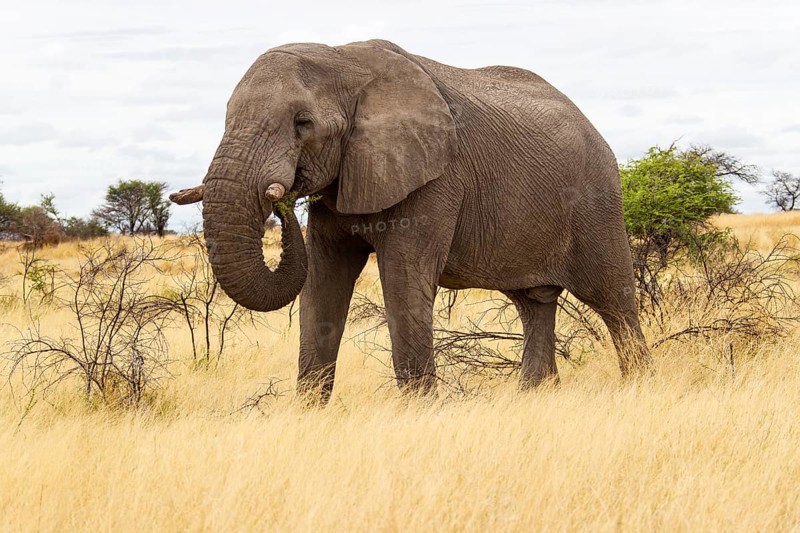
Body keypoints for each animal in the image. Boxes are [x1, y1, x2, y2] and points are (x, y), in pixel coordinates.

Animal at [171, 39, 651, 400]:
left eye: (302, 123)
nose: (282, 198)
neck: (342, 60)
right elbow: (323, 282)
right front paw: (308, 412)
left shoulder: (436, 177)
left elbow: (402, 280)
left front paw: (421, 410)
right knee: (533, 304)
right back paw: (535, 394)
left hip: (597, 201)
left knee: (614, 299)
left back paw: (638, 385)